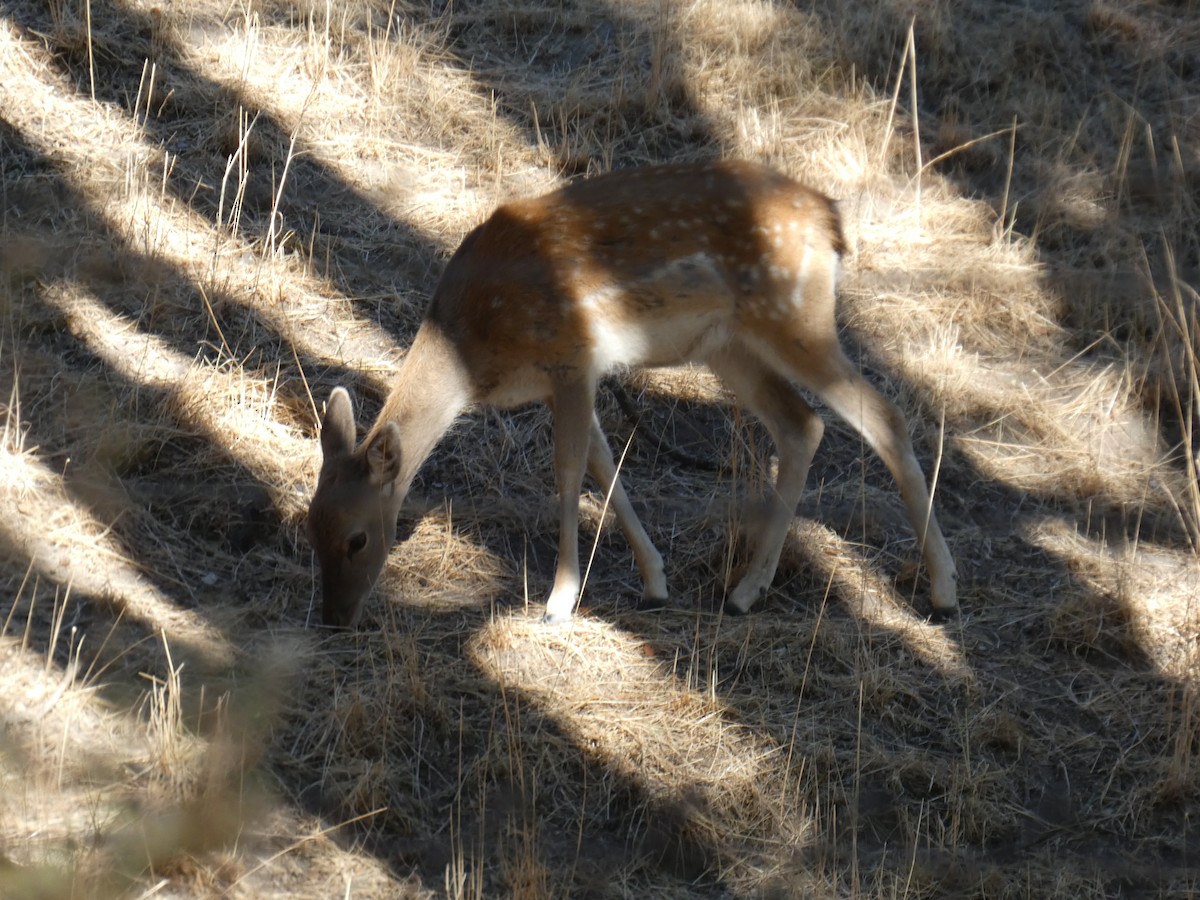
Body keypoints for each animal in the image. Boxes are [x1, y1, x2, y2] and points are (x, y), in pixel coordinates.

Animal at [305, 159, 957, 629]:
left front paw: (559, 601)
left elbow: (570, 470)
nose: (334, 619)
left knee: (883, 415)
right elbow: (604, 464)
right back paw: (746, 591)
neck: (471, 347)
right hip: (727, 344)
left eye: (358, 538)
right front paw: (654, 581)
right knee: (802, 425)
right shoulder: (565, 381)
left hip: (794, 316)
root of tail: (831, 219)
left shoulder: (572, 358)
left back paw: (944, 590)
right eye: (310, 526)